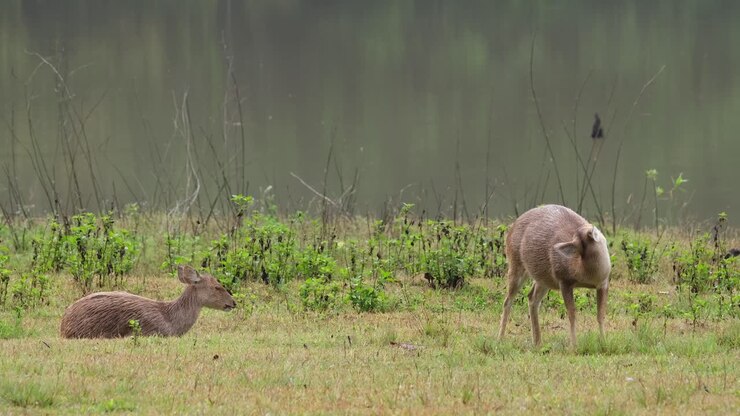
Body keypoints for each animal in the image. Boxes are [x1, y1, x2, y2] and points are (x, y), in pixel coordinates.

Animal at [497, 204, 611, 347]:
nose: (592, 228)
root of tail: (510, 229)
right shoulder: (564, 281)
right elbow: (572, 314)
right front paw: (574, 346)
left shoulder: (603, 283)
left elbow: (600, 315)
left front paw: (604, 342)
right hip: (515, 265)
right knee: (508, 301)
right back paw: (500, 339)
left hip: (543, 279)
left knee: (532, 298)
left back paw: (537, 342)